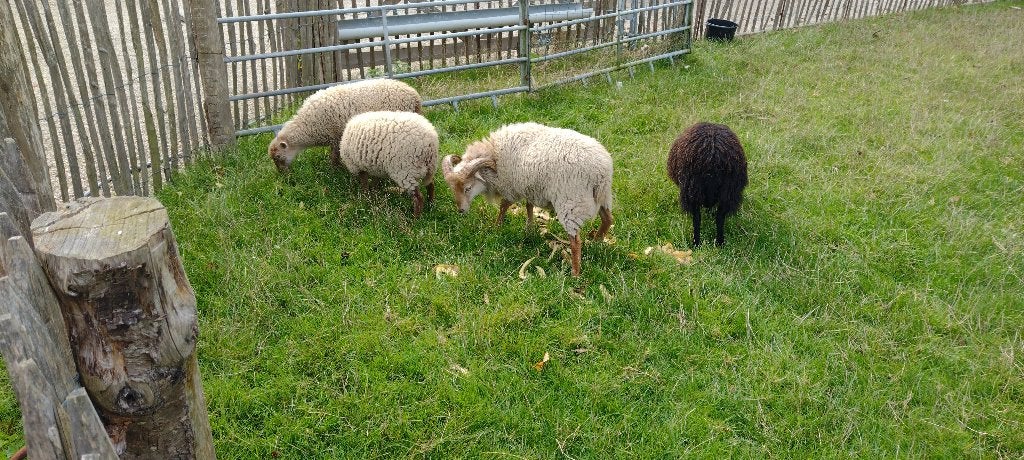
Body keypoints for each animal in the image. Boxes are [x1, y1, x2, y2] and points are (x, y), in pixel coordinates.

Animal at [268, 78, 422, 173]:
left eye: (278, 157)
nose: (283, 175)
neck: (308, 126)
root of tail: (415, 96)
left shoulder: (336, 136)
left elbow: (335, 156)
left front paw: (335, 169)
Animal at [441, 122, 613, 277]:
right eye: (452, 189)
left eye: (467, 188)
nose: (461, 210)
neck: (495, 155)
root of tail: (601, 171)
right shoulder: (529, 187)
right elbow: (528, 206)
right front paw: (529, 228)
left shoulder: (511, 187)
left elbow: (504, 205)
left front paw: (497, 227)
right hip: (602, 197)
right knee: (608, 219)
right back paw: (596, 241)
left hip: (571, 202)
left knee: (576, 241)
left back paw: (575, 273)